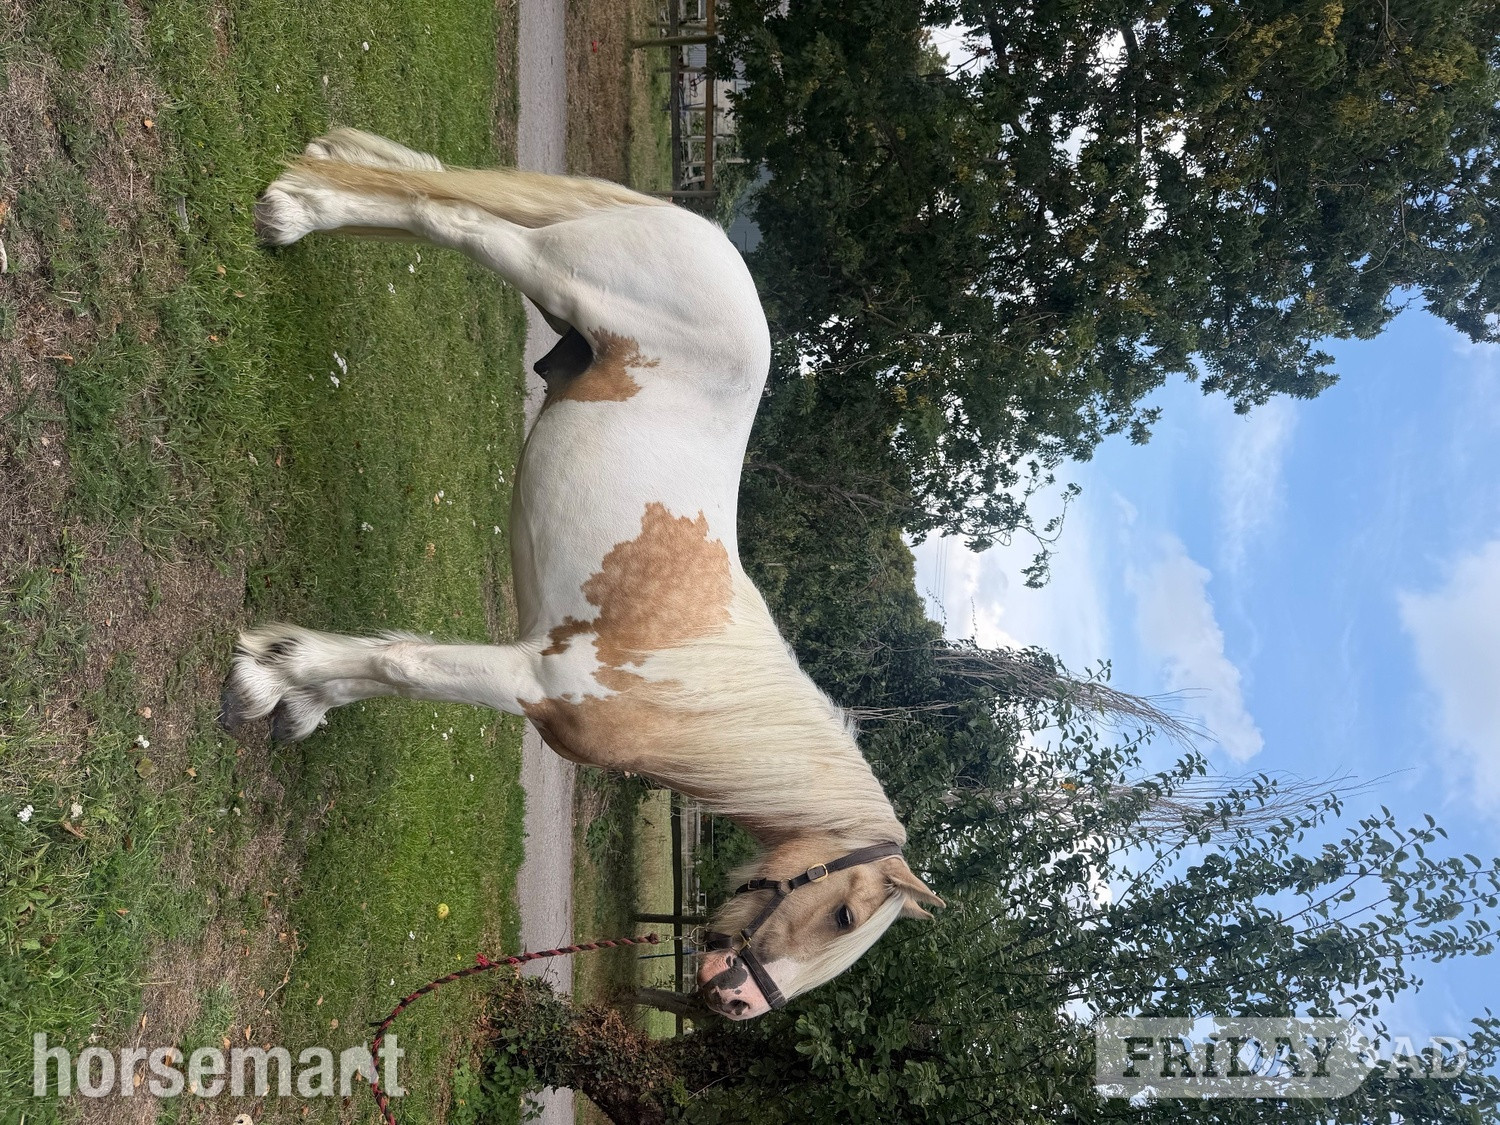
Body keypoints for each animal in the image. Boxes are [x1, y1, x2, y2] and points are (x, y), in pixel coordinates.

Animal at [222, 129, 943, 1020]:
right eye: (843, 913)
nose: (736, 1002)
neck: (696, 688)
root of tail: (705, 237)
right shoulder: (531, 675)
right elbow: (404, 663)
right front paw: (267, 680)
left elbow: (376, 670)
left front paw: (301, 694)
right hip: (559, 274)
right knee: (455, 220)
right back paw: (298, 213)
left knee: (426, 192)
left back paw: (302, 196)